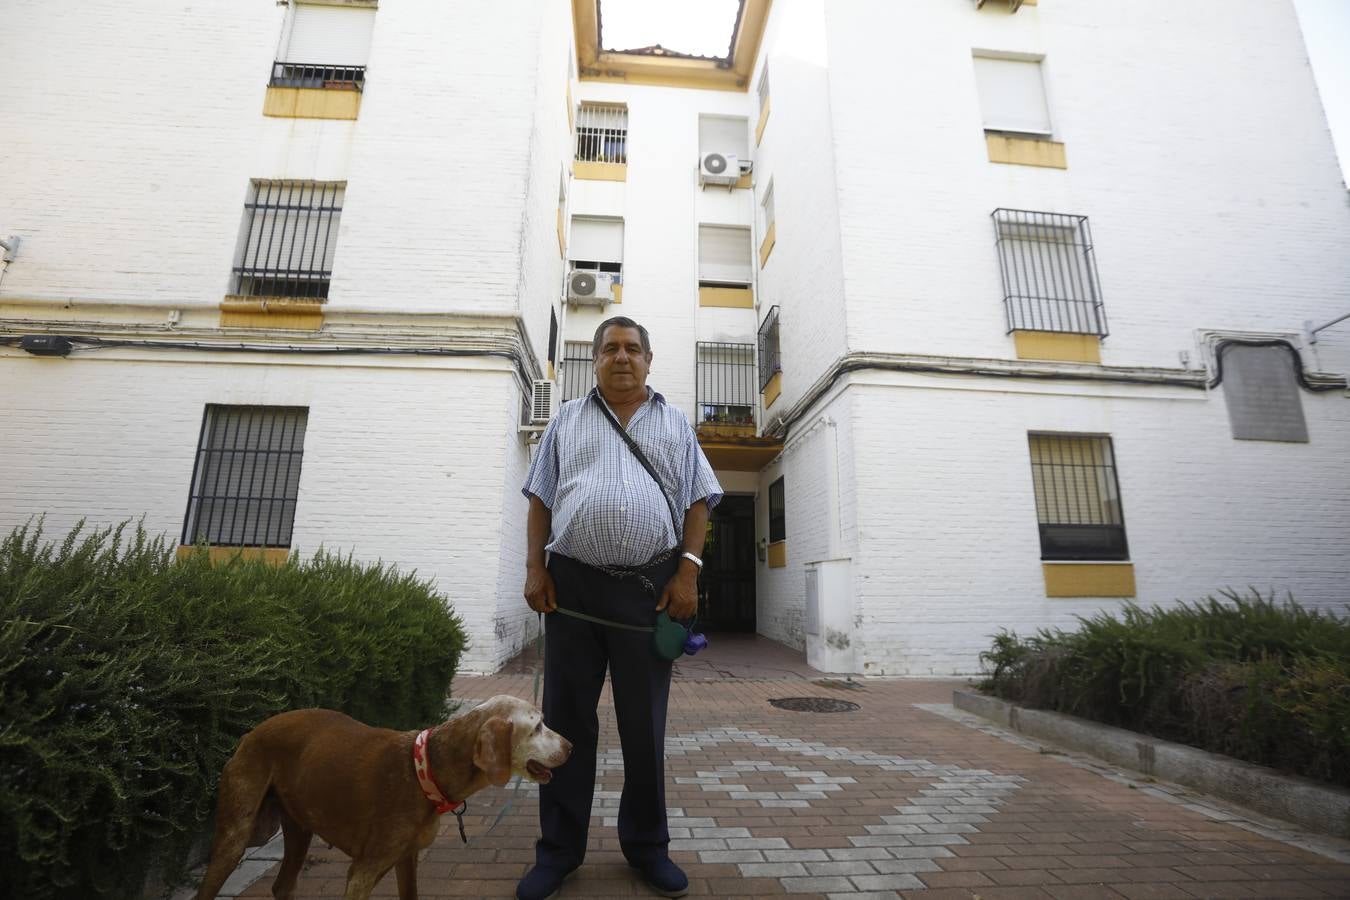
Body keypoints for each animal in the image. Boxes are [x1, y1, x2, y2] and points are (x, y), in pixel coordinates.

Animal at [193, 696, 567, 900]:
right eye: (537, 727)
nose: (571, 746)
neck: (424, 769)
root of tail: (250, 733)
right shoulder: (362, 872)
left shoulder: (406, 859)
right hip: (235, 837)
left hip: (298, 828)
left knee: (282, 886)